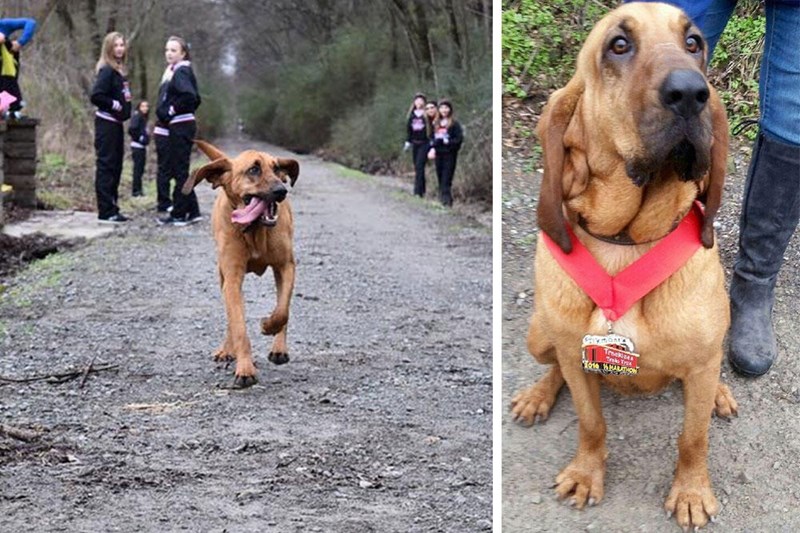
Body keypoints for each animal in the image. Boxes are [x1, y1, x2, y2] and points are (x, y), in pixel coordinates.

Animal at [184, 140, 300, 386]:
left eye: (277, 168)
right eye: (253, 169)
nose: (281, 190)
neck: (254, 230)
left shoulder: (286, 266)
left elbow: (282, 310)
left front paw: (268, 326)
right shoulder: (232, 278)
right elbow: (238, 326)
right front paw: (245, 368)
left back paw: (279, 349)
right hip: (223, 277)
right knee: (231, 317)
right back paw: (227, 350)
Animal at [512, 3, 736, 528]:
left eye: (694, 42)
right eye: (619, 45)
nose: (691, 93)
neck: (627, 241)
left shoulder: (700, 364)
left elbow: (693, 438)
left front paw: (691, 492)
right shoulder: (575, 354)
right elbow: (591, 423)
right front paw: (585, 474)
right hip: (539, 335)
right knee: (555, 368)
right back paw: (537, 395)